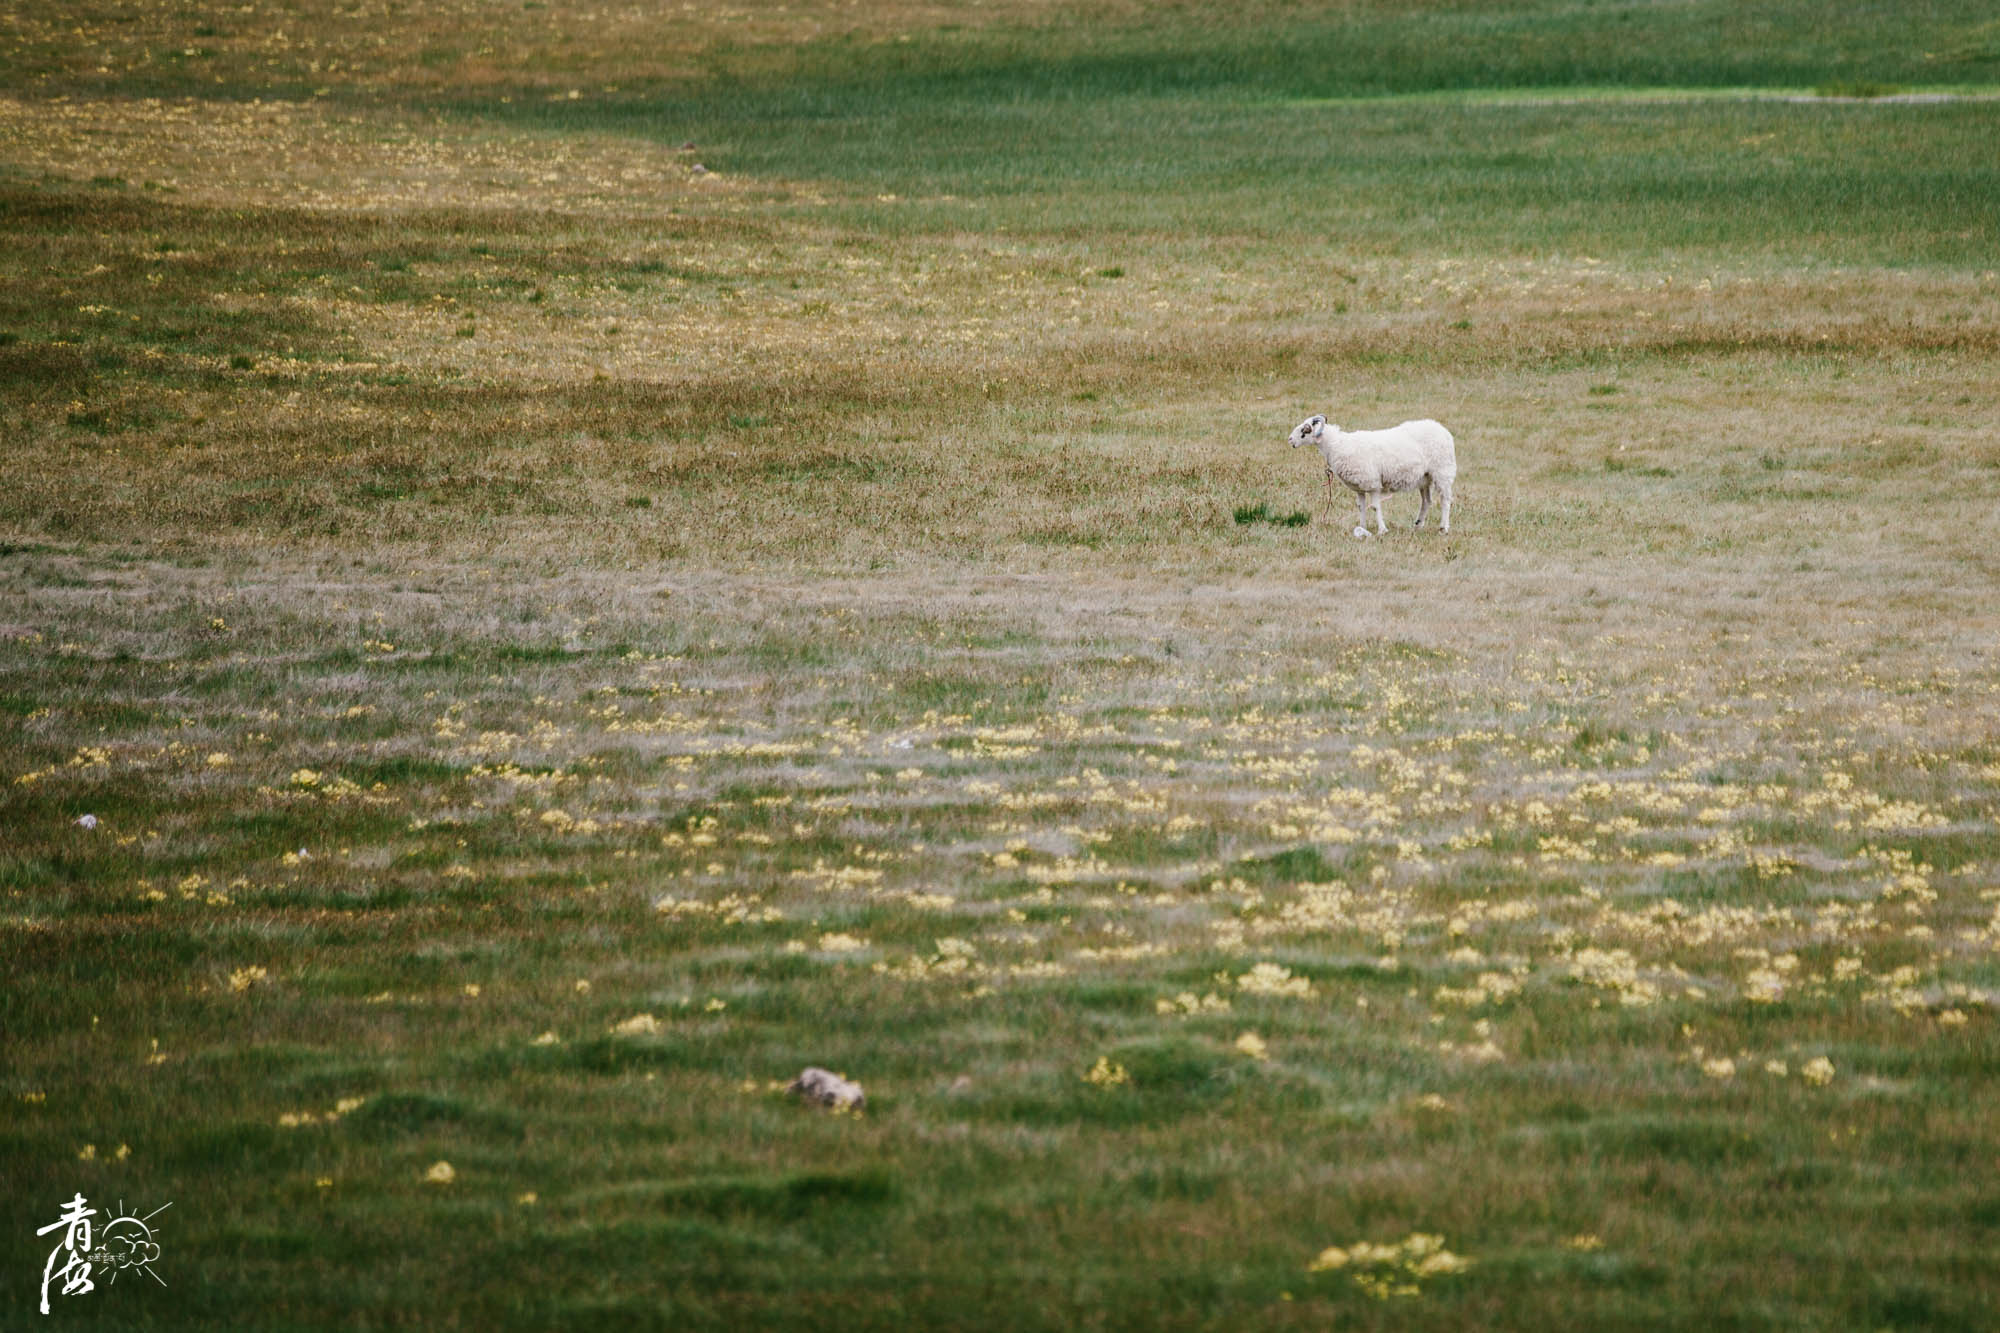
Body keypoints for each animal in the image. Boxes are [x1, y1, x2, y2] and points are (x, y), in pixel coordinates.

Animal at [1288, 416, 1464, 540]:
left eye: (1305, 429)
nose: (1290, 439)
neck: (1337, 445)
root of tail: (1442, 429)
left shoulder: (1372, 483)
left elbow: (1374, 507)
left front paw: (1382, 530)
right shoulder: (1359, 486)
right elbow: (1361, 507)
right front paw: (1362, 527)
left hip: (1443, 472)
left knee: (1445, 500)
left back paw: (1443, 528)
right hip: (1424, 478)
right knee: (1427, 501)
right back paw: (1418, 525)